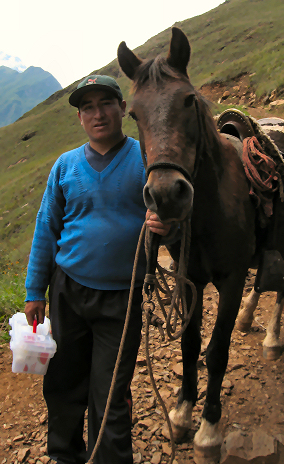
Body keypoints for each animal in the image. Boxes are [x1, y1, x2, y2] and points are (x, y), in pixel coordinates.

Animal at [117, 28, 284, 464]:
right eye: (134, 114)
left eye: (188, 99)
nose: (166, 195)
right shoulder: (188, 277)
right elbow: (191, 346)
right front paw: (180, 413)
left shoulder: (230, 279)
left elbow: (219, 350)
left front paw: (209, 429)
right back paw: (252, 319)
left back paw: (272, 339)